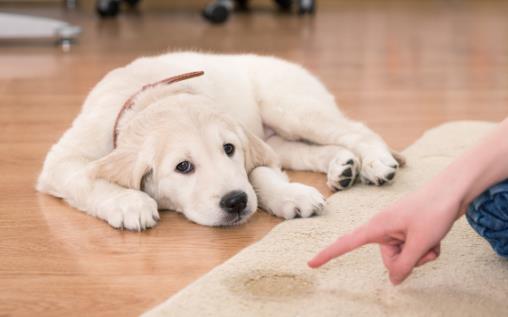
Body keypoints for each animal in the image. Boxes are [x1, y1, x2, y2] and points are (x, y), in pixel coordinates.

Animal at [36, 51, 404, 230]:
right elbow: (87, 178)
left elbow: (259, 174)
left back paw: (375, 163)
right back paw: (342, 166)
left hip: (290, 107)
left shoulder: (250, 145)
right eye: (183, 166)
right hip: (280, 137)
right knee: (306, 151)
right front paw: (129, 203)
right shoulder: (62, 160)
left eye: (229, 149)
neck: (153, 96)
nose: (236, 202)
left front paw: (290, 195)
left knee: (356, 130)